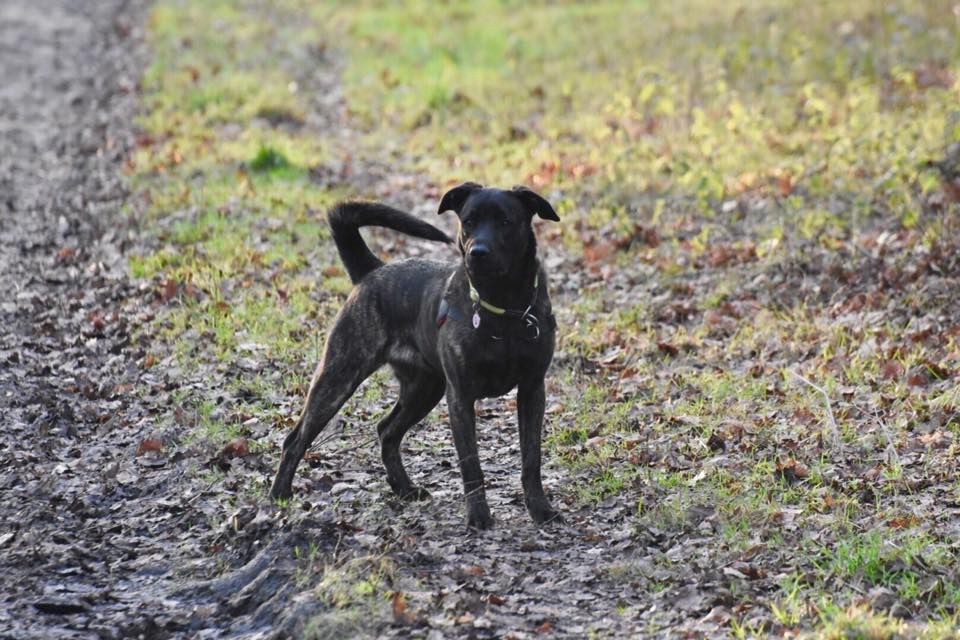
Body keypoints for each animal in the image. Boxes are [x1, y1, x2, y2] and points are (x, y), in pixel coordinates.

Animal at [270, 182, 564, 528]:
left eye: (505, 221)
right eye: (468, 220)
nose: (477, 252)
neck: (502, 306)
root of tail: (373, 270)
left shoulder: (532, 390)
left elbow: (531, 459)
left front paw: (540, 509)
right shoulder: (460, 396)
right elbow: (471, 464)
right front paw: (478, 515)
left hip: (423, 389)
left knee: (386, 430)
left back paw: (404, 488)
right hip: (338, 377)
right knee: (296, 439)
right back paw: (279, 495)